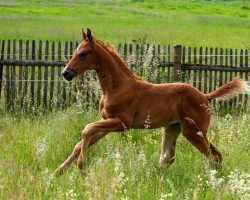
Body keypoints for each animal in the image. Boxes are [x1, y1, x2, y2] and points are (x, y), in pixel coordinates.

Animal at [56, 28, 248, 176]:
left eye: (83, 54)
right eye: (75, 51)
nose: (66, 73)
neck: (117, 86)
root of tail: (204, 96)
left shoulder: (122, 123)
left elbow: (86, 129)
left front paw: (82, 168)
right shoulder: (107, 121)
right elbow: (81, 142)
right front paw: (58, 172)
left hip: (194, 131)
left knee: (213, 156)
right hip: (173, 129)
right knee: (170, 159)